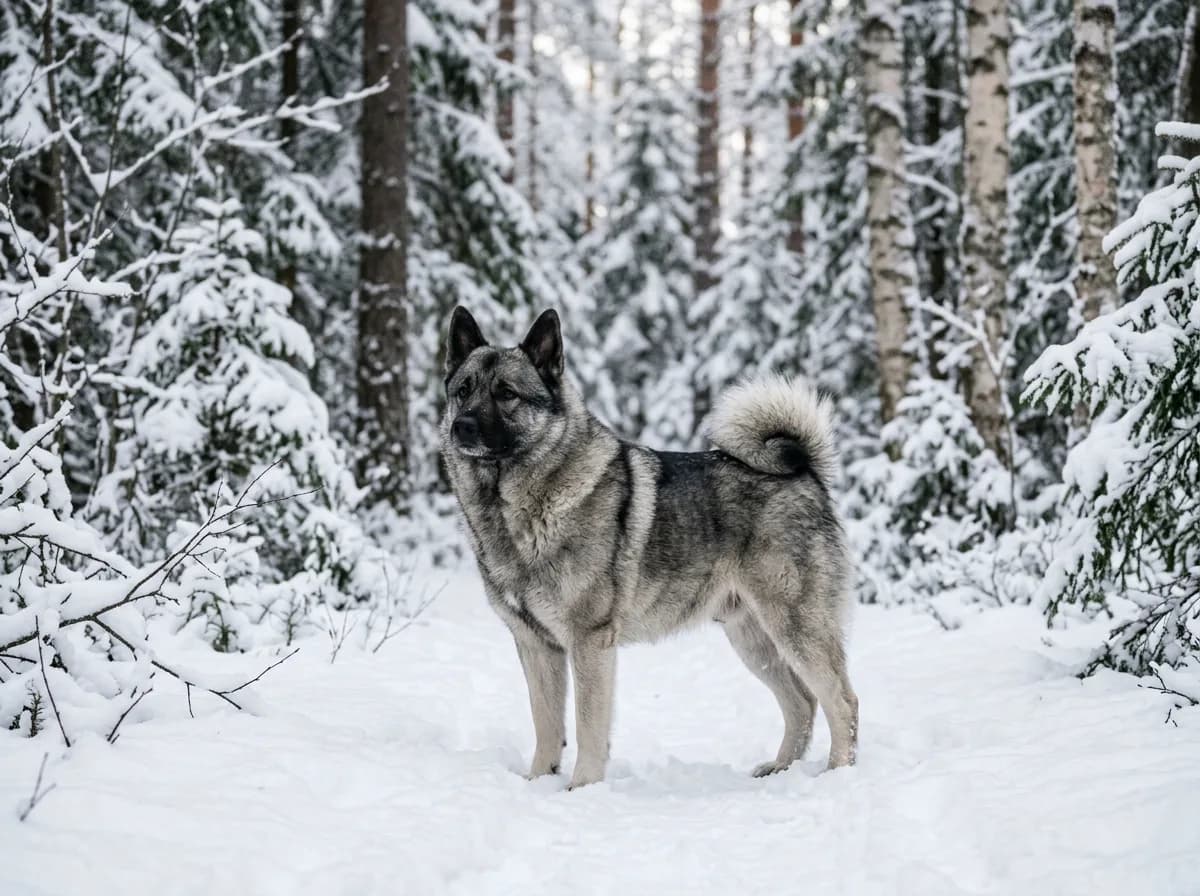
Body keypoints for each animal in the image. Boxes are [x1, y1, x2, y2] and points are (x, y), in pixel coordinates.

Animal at [440, 306, 858, 789]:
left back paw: (839, 775)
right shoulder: (535, 645)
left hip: (796, 626)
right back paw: (779, 769)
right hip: (753, 637)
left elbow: (587, 725)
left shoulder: (589, 641)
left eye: (506, 393)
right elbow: (546, 724)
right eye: (463, 390)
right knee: (802, 703)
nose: (462, 426)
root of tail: (804, 470)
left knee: (842, 702)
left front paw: (582, 789)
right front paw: (537, 783)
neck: (519, 508)